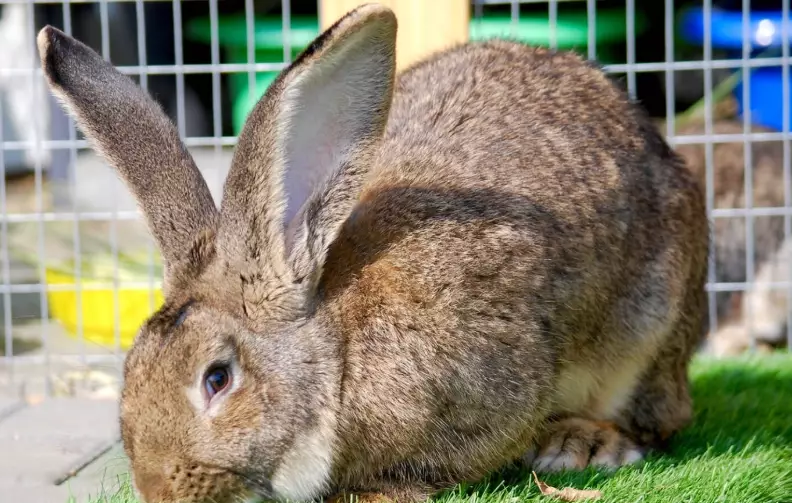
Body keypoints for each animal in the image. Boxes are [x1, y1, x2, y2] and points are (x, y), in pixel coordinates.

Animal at [37, 4, 708, 503]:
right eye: (131, 371)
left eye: (217, 378)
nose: (159, 491)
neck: (339, 355)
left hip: (650, 331)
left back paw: (584, 445)